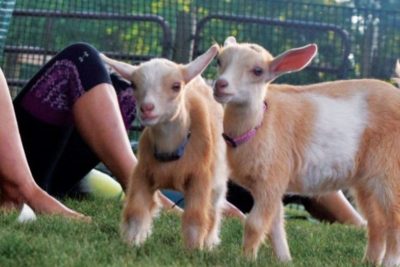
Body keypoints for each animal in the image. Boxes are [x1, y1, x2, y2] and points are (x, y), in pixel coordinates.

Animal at [100, 46, 228, 251]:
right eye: (133, 85)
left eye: (176, 86)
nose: (147, 108)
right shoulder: (142, 173)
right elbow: (136, 210)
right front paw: (131, 243)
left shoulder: (200, 178)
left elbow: (196, 216)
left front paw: (193, 250)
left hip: (217, 177)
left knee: (214, 209)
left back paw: (209, 243)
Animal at [214, 36, 400, 266]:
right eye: (219, 61)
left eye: (258, 71)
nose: (220, 85)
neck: (260, 123)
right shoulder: (270, 186)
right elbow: (275, 224)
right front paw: (284, 259)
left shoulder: (271, 180)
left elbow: (255, 223)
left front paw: (245, 259)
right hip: (366, 182)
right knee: (377, 222)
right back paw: (369, 261)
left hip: (390, 172)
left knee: (395, 221)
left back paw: (390, 262)